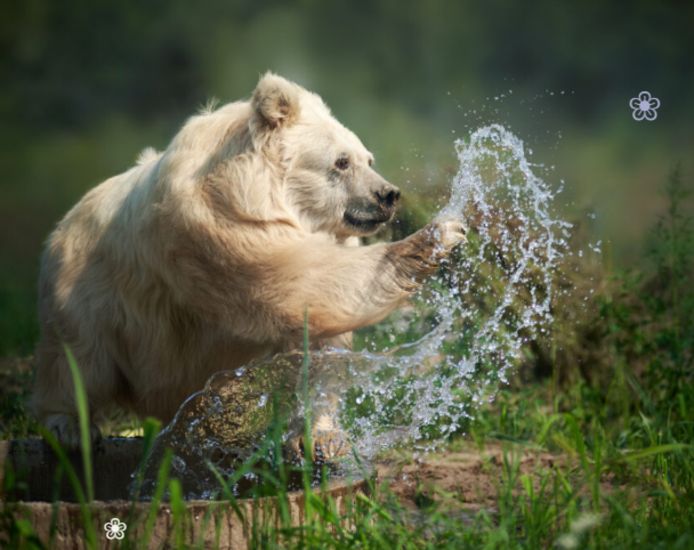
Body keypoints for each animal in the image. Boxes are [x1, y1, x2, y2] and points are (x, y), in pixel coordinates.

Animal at [31, 72, 466, 455]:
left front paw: (321, 438)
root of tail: (60, 227)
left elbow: (318, 346)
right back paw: (71, 428)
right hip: (88, 294)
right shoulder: (218, 225)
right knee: (77, 361)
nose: (387, 195)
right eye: (342, 162)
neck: (250, 188)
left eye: (368, 158)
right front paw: (439, 235)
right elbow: (296, 284)